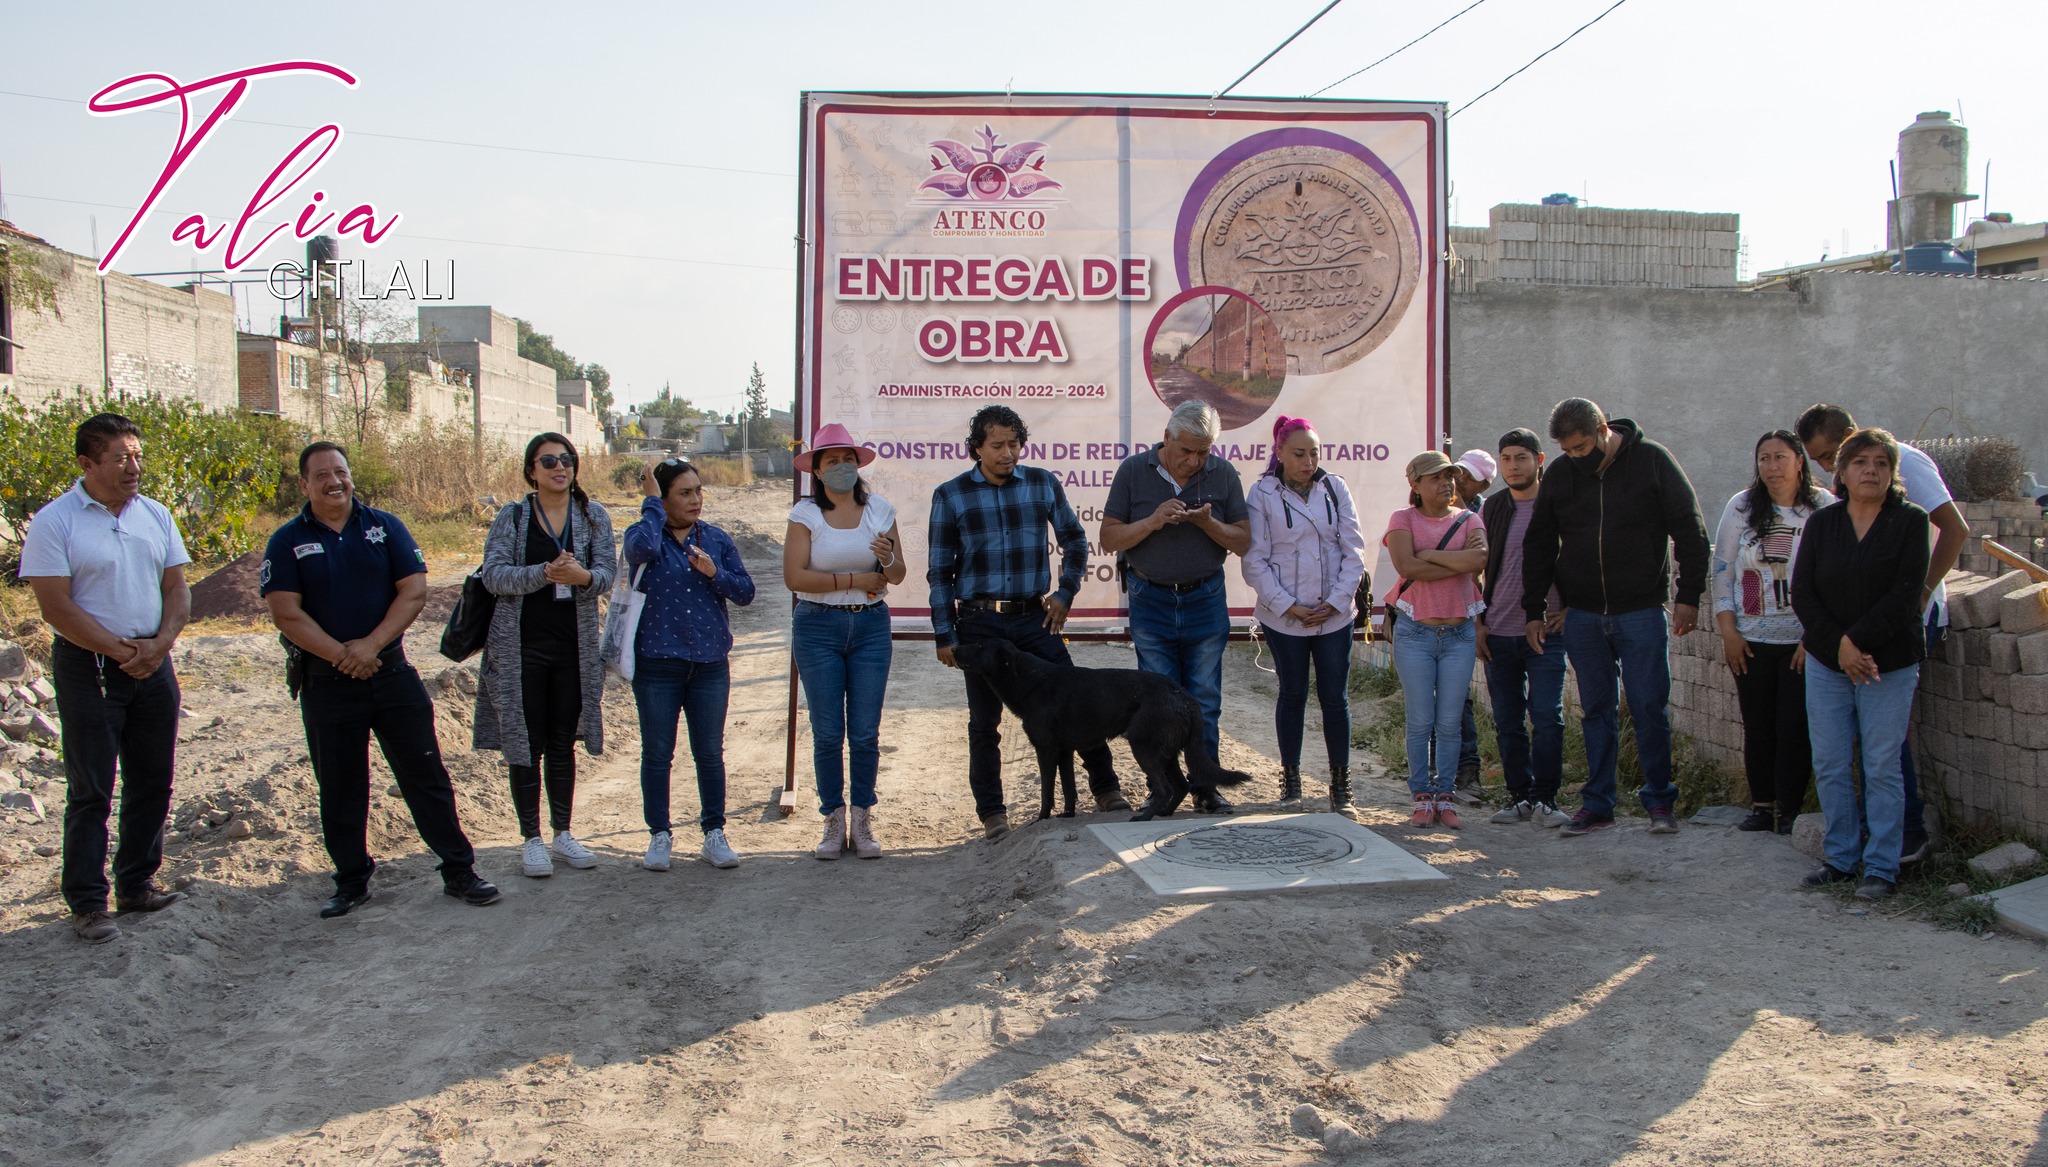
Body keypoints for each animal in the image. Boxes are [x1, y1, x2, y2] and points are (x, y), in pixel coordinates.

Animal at [950, 634, 1253, 818]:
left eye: (979, 646)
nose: (952, 648)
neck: (1030, 680)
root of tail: (1183, 695)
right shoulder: (1065, 752)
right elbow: (1069, 788)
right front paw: (1067, 815)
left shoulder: (1046, 751)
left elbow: (1047, 791)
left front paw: (1041, 819)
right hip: (1166, 753)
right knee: (1180, 786)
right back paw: (1163, 814)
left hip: (1144, 748)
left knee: (1166, 788)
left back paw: (1144, 818)